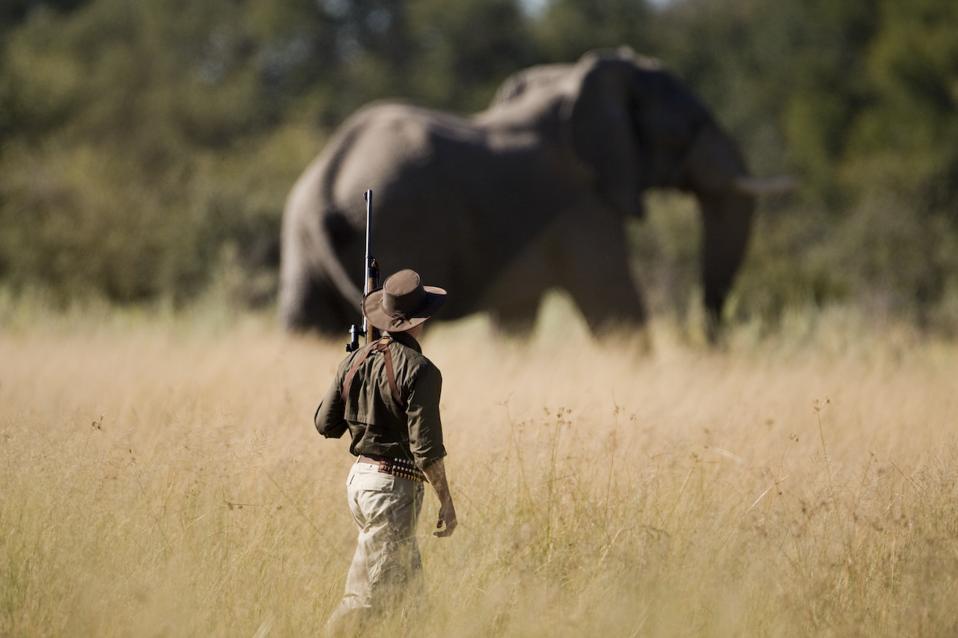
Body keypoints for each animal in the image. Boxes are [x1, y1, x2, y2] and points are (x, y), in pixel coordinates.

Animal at [279, 47, 788, 338]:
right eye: (688, 129)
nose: (713, 338)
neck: (573, 81)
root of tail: (328, 175)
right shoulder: (581, 205)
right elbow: (614, 302)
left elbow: (516, 319)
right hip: (403, 222)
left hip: (301, 238)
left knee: (304, 322)